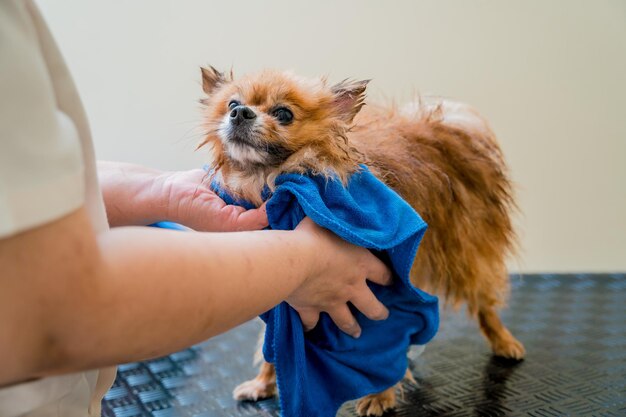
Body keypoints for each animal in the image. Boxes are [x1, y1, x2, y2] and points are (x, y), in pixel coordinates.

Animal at [196, 66, 520, 414]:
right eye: (231, 103)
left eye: (283, 113)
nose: (241, 112)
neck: (268, 182)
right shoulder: (285, 295)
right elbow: (275, 342)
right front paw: (263, 382)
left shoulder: (384, 285)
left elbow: (384, 342)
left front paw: (380, 395)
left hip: (465, 255)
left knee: (484, 303)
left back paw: (504, 341)